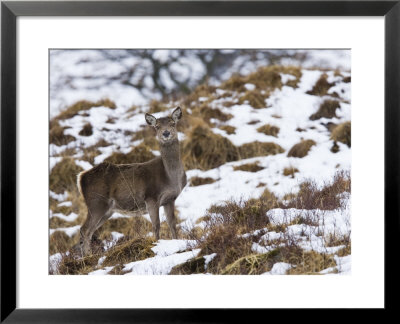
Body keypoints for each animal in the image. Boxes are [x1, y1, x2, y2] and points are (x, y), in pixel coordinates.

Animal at [77, 107, 188, 256]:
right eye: (157, 126)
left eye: (172, 123)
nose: (166, 133)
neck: (170, 177)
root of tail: (81, 177)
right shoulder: (151, 197)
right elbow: (156, 224)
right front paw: (156, 245)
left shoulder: (170, 199)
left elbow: (172, 223)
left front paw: (176, 242)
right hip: (96, 202)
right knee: (85, 230)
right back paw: (87, 257)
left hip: (107, 210)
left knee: (89, 231)